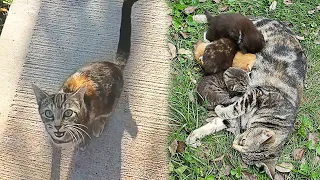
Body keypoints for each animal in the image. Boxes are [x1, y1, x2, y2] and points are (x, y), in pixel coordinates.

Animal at [31, 0, 138, 149]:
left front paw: (81, 143)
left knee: (105, 115)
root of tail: (114, 65)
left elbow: (82, 134)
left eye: (68, 113)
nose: (57, 126)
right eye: (48, 113)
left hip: (110, 104)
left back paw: (98, 126)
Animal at [186, 16, 306, 179]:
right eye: (243, 141)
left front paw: (194, 136)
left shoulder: (236, 118)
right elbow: (236, 107)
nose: (234, 143)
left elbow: (216, 123)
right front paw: (220, 110)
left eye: (242, 146)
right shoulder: (257, 94)